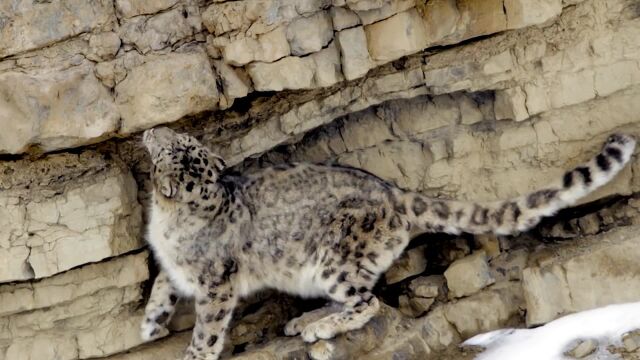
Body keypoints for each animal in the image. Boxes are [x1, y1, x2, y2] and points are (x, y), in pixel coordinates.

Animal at [140, 127, 636, 360]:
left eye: (177, 141)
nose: (152, 130)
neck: (166, 218)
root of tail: (395, 193)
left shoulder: (215, 282)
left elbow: (208, 324)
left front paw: (194, 351)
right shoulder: (171, 265)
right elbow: (162, 286)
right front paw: (149, 325)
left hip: (335, 258)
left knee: (367, 301)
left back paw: (320, 327)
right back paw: (308, 320)